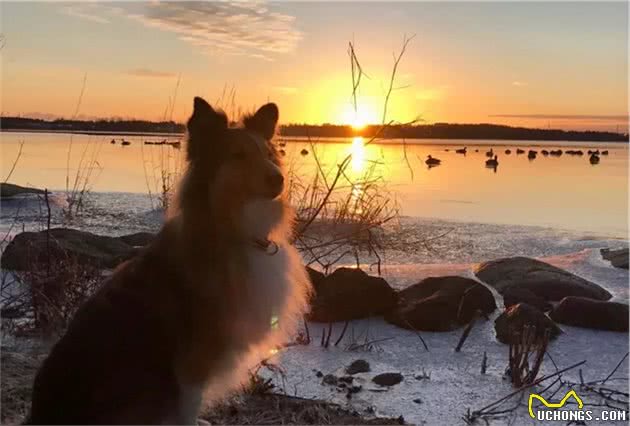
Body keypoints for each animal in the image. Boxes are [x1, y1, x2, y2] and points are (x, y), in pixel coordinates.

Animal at [27, 98, 314, 424]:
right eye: (237, 155)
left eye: (268, 154)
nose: (279, 178)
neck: (231, 230)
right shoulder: (192, 365)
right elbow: (189, 407)